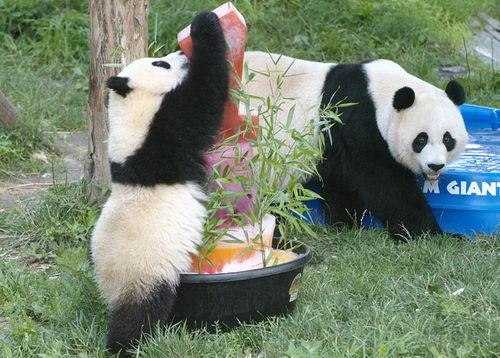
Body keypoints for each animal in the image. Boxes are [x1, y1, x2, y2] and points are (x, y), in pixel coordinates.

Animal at [91, 11, 228, 356]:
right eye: (160, 63)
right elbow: (205, 95)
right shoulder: (164, 132)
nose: (180, 54)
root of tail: (109, 289)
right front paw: (204, 23)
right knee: (139, 313)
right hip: (146, 272)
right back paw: (126, 344)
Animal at [244, 51, 466, 242]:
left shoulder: (335, 141)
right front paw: (432, 233)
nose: (435, 166)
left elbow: (341, 181)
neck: (378, 93)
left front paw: (345, 221)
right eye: (420, 140)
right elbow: (386, 185)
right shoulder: (356, 123)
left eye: (448, 139)